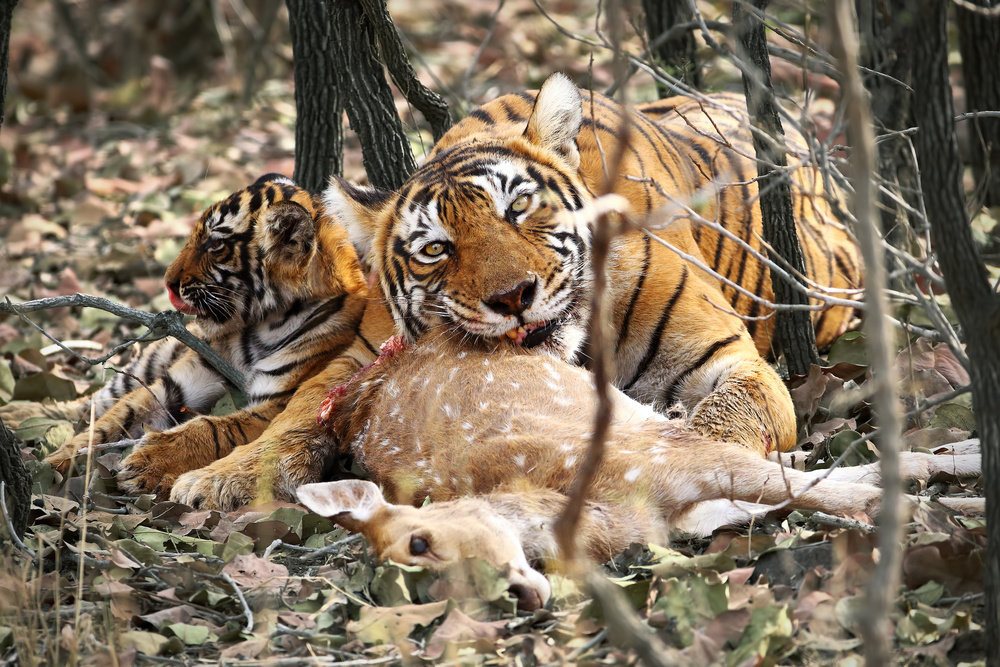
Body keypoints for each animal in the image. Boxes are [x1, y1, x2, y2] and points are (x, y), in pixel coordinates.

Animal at [44, 172, 368, 496]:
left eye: (215, 244)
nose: (168, 282)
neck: (258, 327)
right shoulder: (175, 384)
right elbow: (104, 427)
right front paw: (49, 465)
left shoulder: (275, 402)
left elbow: (215, 428)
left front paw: (148, 462)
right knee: (96, 400)